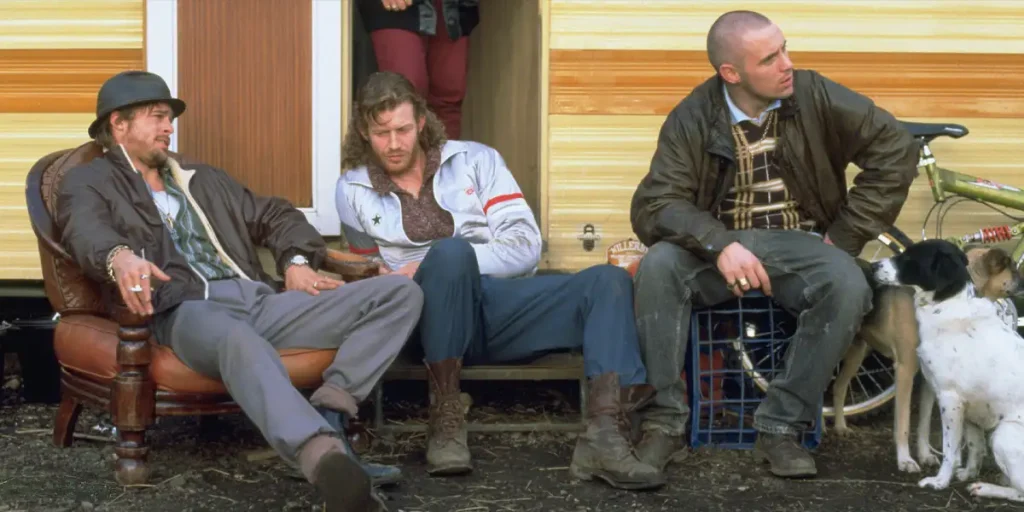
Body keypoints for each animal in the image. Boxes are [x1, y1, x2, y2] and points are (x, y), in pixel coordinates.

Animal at [872, 239, 1024, 503]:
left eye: (909, 257)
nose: (872, 266)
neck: (947, 304)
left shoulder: (949, 398)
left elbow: (950, 451)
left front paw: (940, 482)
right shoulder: (971, 406)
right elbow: (974, 446)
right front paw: (967, 473)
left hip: (1003, 434)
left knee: (1021, 492)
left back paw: (987, 488)